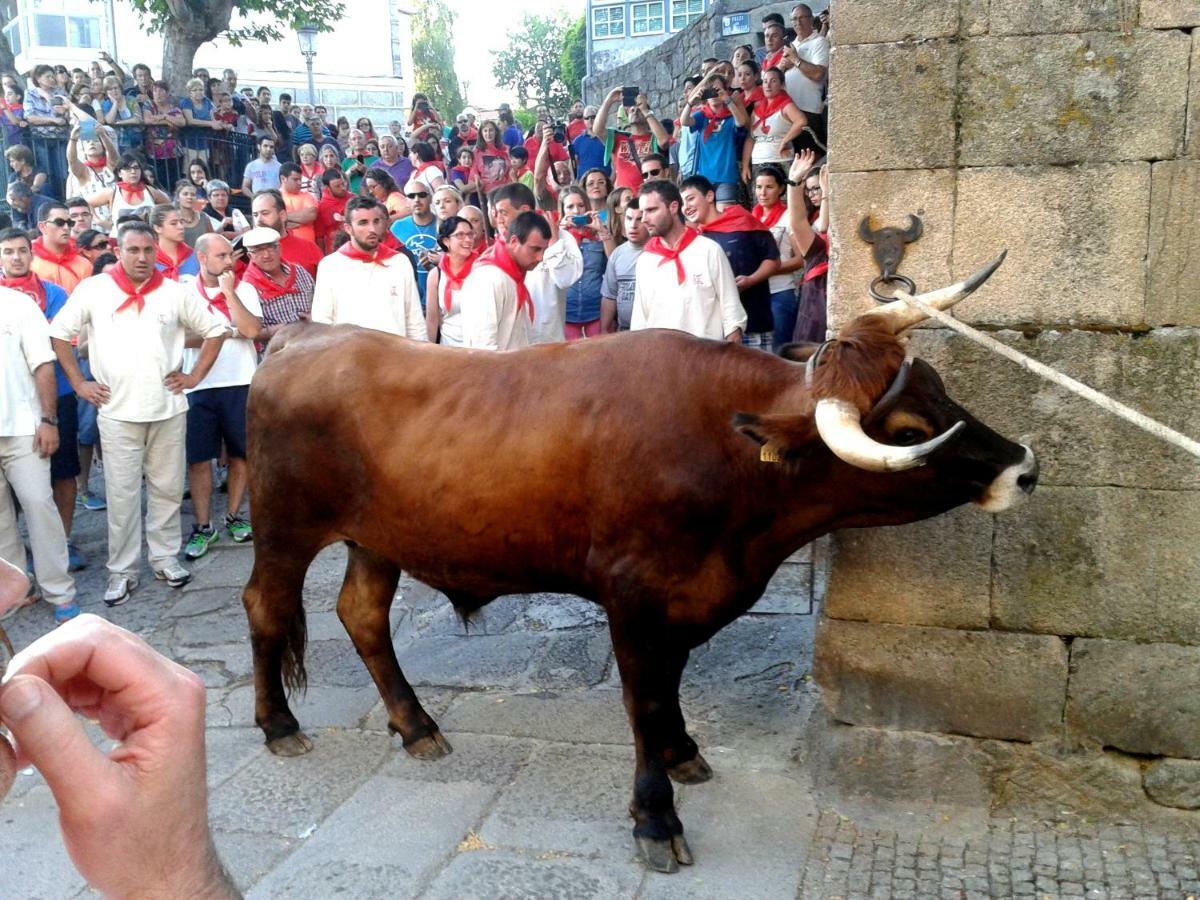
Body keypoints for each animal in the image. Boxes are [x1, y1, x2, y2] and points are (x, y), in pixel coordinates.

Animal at [241, 252, 1032, 873]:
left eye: (938, 386)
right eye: (909, 428)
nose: (1024, 467)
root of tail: (304, 333)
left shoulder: (680, 598)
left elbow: (669, 688)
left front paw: (683, 753)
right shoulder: (634, 596)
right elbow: (644, 702)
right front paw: (656, 818)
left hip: (379, 539)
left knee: (363, 615)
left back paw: (416, 726)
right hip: (284, 528)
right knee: (266, 607)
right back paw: (279, 726)